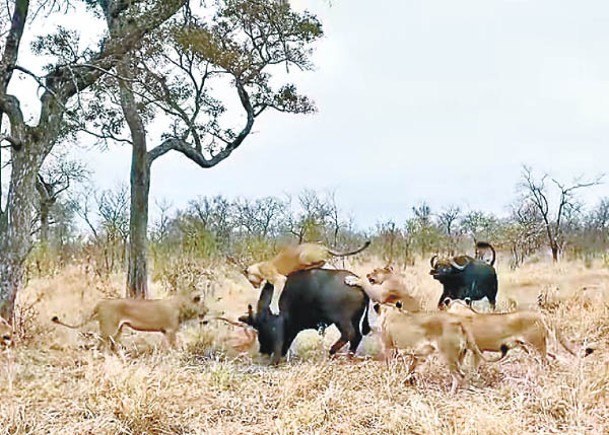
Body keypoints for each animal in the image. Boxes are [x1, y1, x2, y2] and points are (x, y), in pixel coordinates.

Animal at [50, 292, 207, 350]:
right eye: (204, 306)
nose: (207, 311)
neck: (182, 306)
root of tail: (100, 303)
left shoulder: (165, 332)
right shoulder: (170, 331)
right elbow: (174, 346)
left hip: (118, 330)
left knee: (111, 345)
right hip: (109, 329)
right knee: (100, 344)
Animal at [238, 270, 370, 364]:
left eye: (258, 328)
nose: (262, 350)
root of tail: (360, 285)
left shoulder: (278, 326)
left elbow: (278, 345)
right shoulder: (292, 328)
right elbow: (287, 342)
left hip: (342, 320)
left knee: (349, 334)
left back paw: (332, 351)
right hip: (355, 319)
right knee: (357, 336)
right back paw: (349, 356)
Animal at [444, 296, 592, 368]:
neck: (460, 308)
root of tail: (539, 314)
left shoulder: (470, 349)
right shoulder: (474, 350)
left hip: (536, 346)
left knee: (546, 361)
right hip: (531, 347)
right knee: (555, 356)